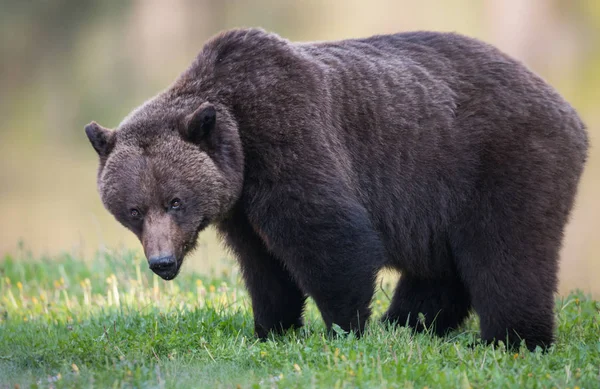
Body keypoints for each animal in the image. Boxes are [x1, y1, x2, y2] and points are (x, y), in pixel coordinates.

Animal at [86, 28, 588, 348]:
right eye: (133, 210)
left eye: (175, 201)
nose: (162, 262)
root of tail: (568, 110)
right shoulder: (241, 205)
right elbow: (265, 265)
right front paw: (271, 327)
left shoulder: (289, 137)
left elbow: (329, 236)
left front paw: (343, 327)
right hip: (445, 200)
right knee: (441, 266)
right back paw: (408, 323)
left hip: (499, 161)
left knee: (506, 255)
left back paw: (511, 338)